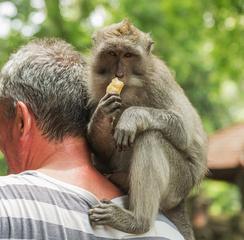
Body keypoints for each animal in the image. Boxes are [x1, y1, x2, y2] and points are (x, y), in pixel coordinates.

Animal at [86, 19, 207, 240]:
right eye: (112, 53)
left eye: (128, 55)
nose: (119, 74)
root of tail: (183, 198)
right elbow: (103, 151)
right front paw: (102, 112)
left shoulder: (159, 80)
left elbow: (184, 131)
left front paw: (132, 117)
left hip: (180, 183)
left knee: (151, 137)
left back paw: (137, 222)